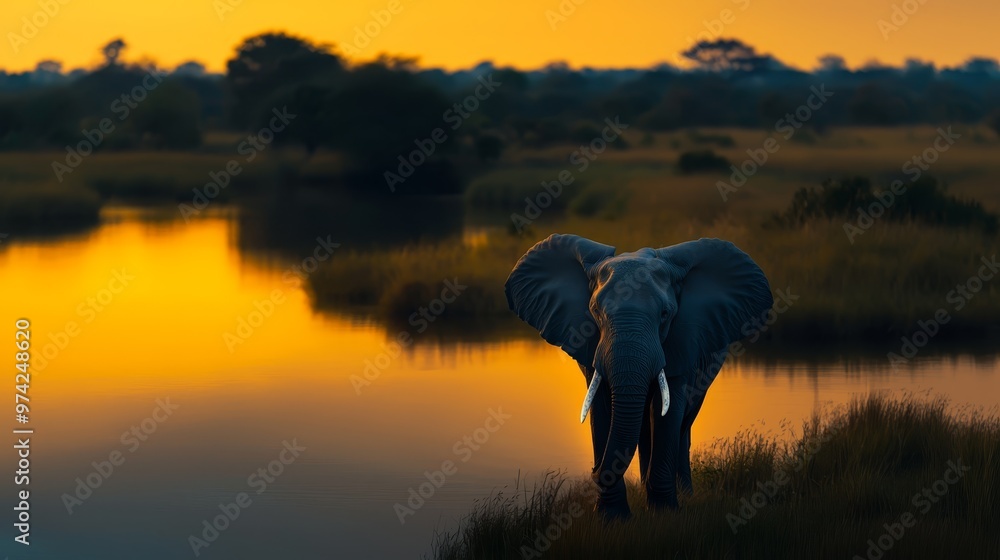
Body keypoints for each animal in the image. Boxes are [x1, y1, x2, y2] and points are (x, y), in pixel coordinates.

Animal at [504, 234, 773, 520]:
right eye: (596, 312)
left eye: (665, 314)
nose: (594, 471)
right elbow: (601, 408)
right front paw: (612, 518)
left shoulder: (682, 342)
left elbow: (667, 412)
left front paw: (664, 514)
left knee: (682, 426)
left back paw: (684, 494)